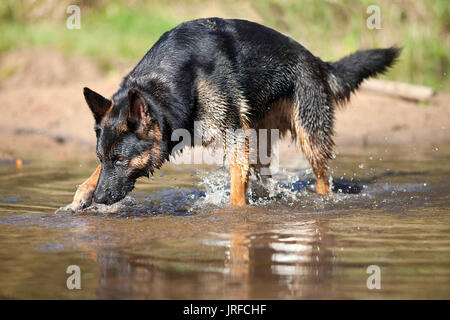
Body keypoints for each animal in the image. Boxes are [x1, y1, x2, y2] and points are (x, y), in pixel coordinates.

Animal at [68, 17, 400, 210]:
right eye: (103, 158)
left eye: (122, 160)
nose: (99, 200)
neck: (167, 81)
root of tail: (318, 61)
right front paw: (83, 192)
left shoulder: (234, 135)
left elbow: (237, 187)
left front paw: (236, 217)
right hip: (261, 141)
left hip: (310, 138)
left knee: (322, 178)